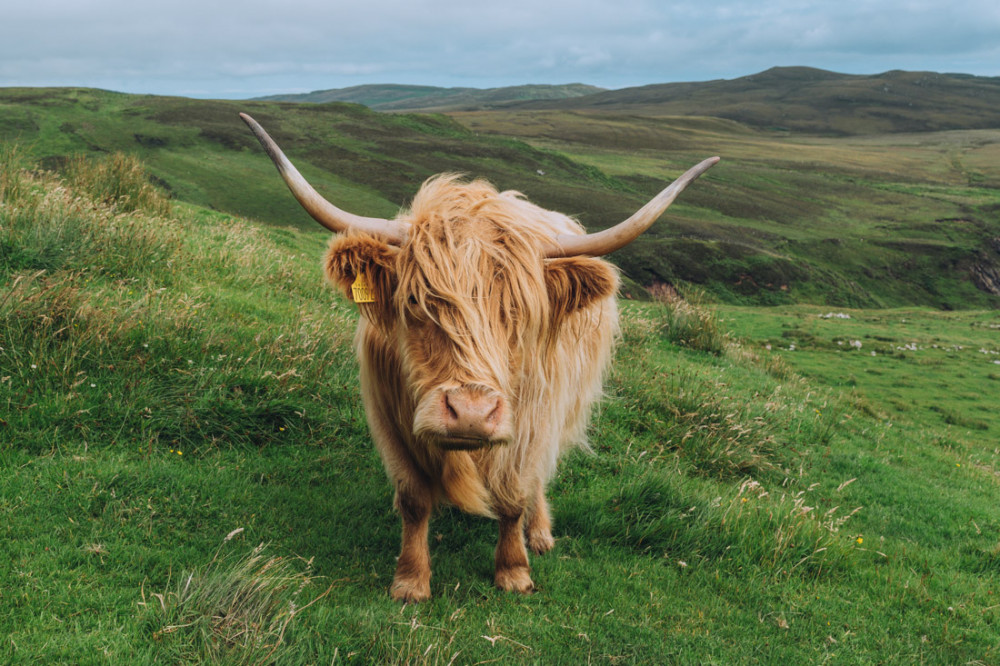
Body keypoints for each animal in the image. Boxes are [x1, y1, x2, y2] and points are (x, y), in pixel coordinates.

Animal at [238, 111, 716, 600]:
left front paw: (514, 571)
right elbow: (414, 499)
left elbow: (514, 494)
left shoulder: (532, 419)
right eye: (416, 301)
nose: (470, 413)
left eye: (519, 311)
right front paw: (410, 580)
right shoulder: (390, 417)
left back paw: (539, 534)